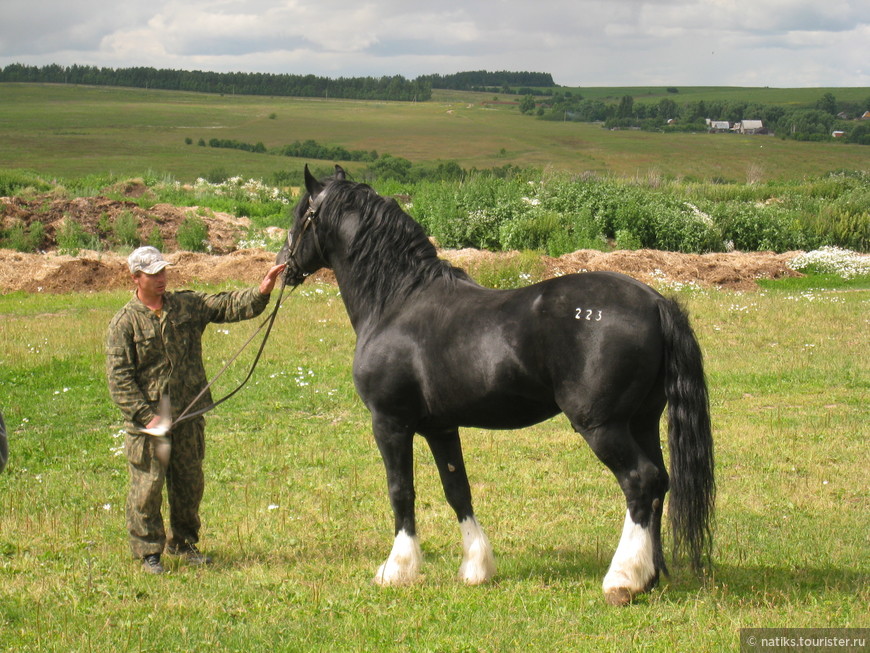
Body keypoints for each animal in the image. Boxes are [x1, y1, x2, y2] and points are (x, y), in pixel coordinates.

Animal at [280, 166, 716, 604]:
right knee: (660, 483)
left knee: (641, 481)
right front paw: (476, 567)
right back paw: (648, 576)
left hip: (602, 426)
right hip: (642, 421)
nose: (282, 266)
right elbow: (457, 489)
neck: (397, 302)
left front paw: (397, 569)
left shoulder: (390, 423)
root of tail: (655, 302)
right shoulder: (441, 428)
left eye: (301, 214)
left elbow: (401, 491)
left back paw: (622, 579)